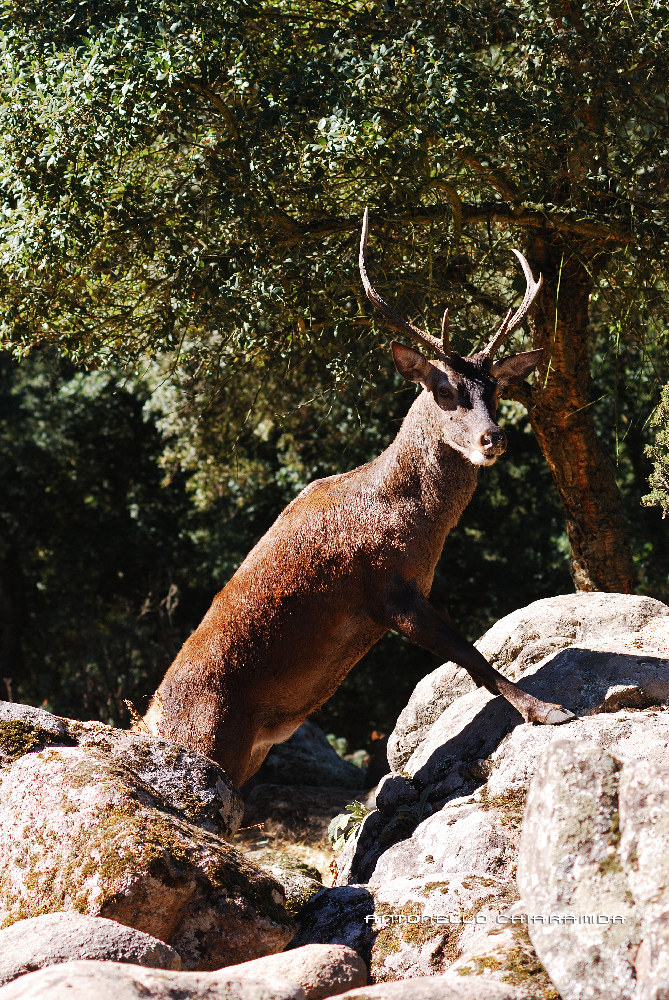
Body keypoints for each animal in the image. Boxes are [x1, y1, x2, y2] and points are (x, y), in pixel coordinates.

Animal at [142, 209, 575, 787]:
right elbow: (470, 654)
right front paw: (547, 710)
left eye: (497, 390)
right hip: (212, 744)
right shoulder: (388, 591)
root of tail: (146, 723)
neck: (415, 527)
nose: (493, 439)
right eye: (444, 391)